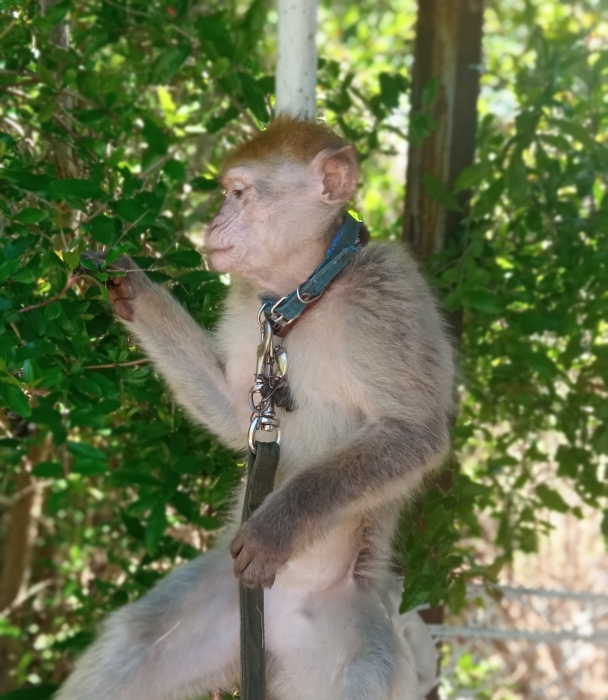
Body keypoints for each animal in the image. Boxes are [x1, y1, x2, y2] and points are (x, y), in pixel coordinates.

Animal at [56, 116, 454, 700]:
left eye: (239, 193)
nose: (215, 221)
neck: (302, 300)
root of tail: (277, 628)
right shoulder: (249, 305)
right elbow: (229, 409)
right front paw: (132, 286)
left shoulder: (389, 294)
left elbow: (414, 432)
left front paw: (276, 529)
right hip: (224, 606)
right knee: (137, 641)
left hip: (344, 646)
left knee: (361, 678)